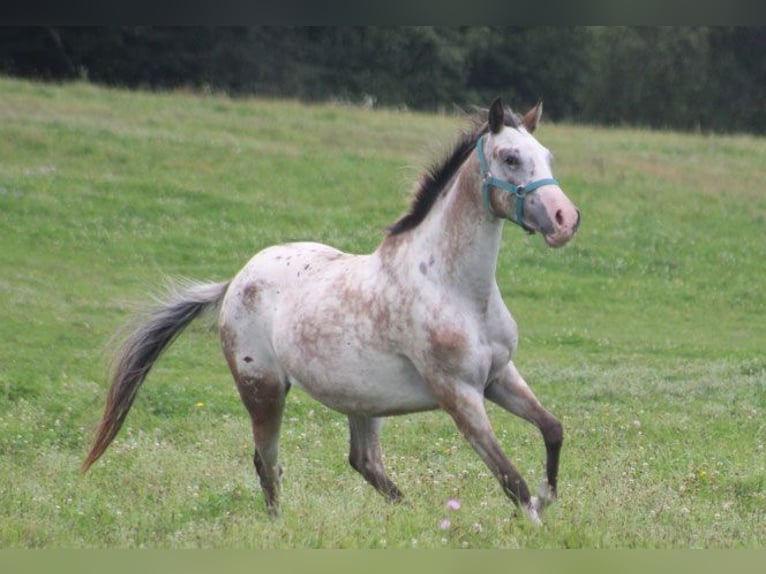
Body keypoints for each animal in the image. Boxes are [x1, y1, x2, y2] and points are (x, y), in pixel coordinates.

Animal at [82, 97, 580, 525]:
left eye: (548, 156)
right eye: (511, 158)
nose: (565, 220)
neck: (454, 289)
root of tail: (236, 279)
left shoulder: (499, 377)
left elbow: (552, 428)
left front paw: (547, 498)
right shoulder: (458, 394)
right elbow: (510, 478)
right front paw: (536, 523)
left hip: (362, 400)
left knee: (363, 462)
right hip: (264, 391)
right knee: (268, 463)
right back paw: (280, 526)